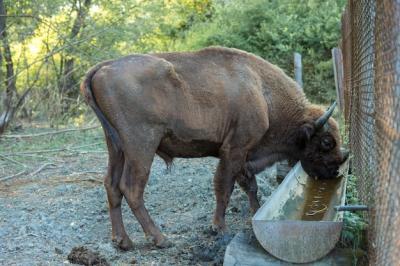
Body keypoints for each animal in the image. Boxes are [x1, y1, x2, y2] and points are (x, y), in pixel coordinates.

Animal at [80, 46, 346, 249]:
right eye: (326, 142)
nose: (335, 170)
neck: (263, 93)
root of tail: (103, 67)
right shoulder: (234, 150)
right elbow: (224, 188)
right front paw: (219, 227)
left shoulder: (244, 157)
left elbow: (250, 186)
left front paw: (254, 213)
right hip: (141, 146)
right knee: (131, 188)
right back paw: (160, 239)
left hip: (116, 147)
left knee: (112, 185)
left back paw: (122, 241)